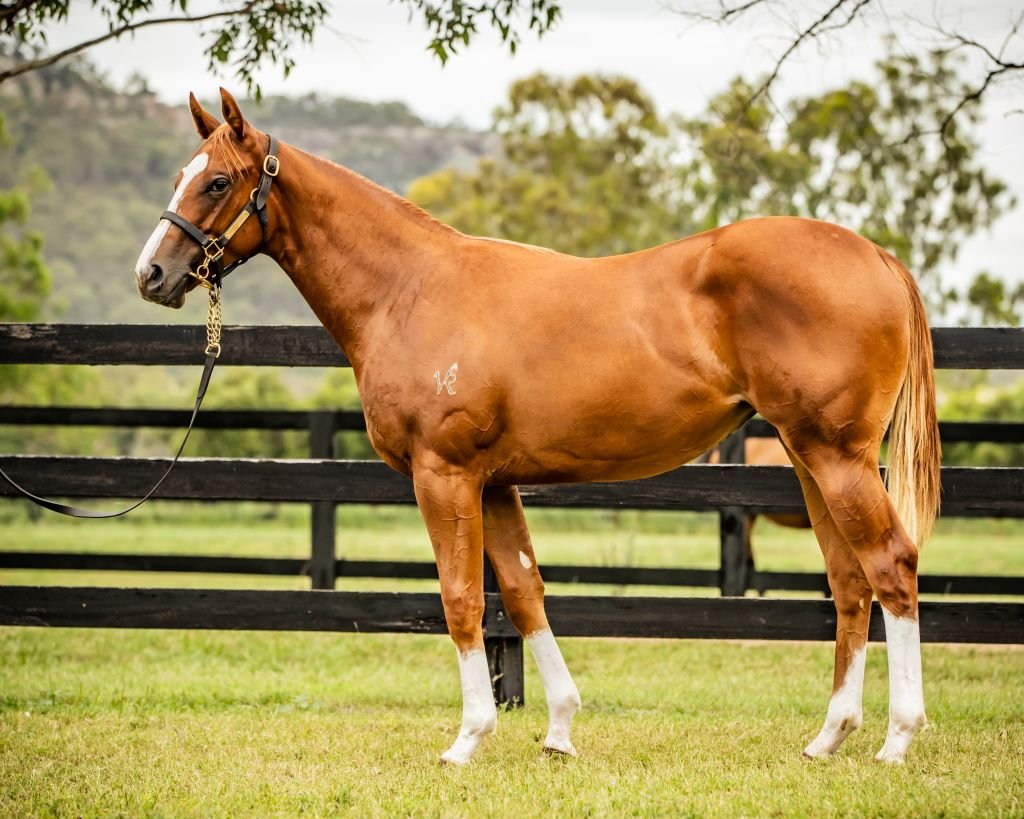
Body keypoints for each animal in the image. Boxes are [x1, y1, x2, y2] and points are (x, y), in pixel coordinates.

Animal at [133, 89, 940, 766]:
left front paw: (468, 738)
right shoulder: (495, 484)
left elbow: (461, 597)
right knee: (849, 581)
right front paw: (558, 729)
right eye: (180, 173)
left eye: (216, 182)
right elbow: (522, 593)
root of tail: (877, 255)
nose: (151, 274)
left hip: (836, 457)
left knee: (891, 565)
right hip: (809, 459)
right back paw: (829, 736)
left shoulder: (444, 474)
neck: (409, 288)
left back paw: (898, 738)